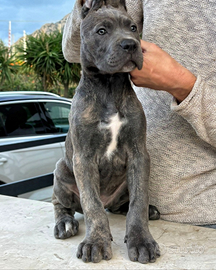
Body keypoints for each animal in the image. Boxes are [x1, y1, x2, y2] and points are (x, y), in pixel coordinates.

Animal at [52, 0, 160, 264]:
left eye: (133, 28)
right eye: (101, 31)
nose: (130, 44)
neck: (110, 87)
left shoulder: (139, 154)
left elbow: (138, 201)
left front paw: (141, 239)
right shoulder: (83, 158)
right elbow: (92, 205)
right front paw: (96, 242)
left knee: (124, 204)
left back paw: (147, 210)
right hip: (61, 170)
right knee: (61, 203)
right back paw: (64, 223)